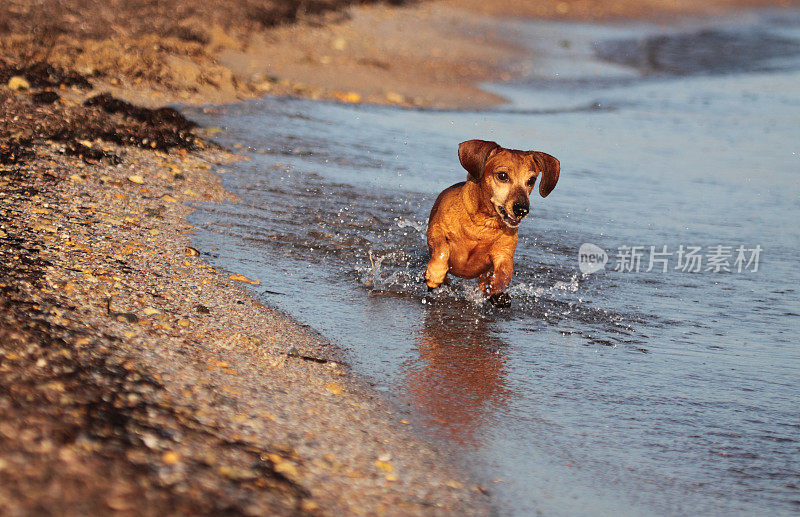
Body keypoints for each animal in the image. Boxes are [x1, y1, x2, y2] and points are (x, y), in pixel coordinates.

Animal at [422, 139, 560, 304]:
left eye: (531, 180)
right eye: (502, 175)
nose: (522, 209)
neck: (482, 225)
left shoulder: (503, 255)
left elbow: (503, 273)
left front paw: (499, 292)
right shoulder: (435, 231)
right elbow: (442, 248)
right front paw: (435, 273)